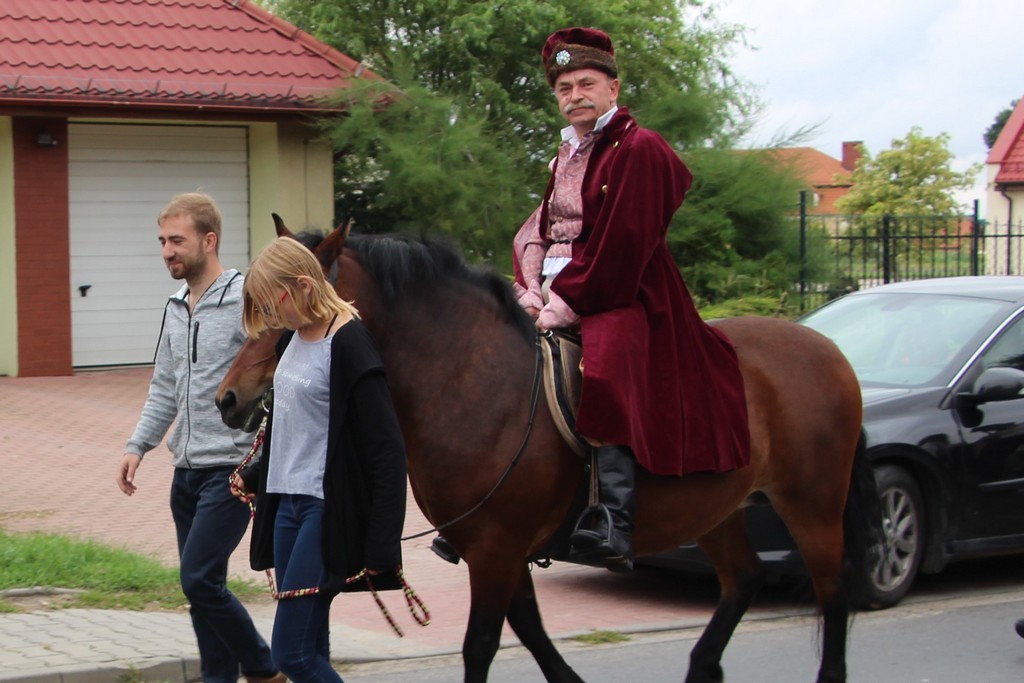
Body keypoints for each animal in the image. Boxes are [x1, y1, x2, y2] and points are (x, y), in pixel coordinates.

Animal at [218, 219, 880, 683]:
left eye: (282, 309)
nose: (229, 399)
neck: (472, 384)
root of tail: (829, 349)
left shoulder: (498, 548)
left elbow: (482, 646)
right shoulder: (499, 548)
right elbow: (533, 634)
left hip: (812, 505)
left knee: (832, 595)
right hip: (717, 511)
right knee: (743, 581)